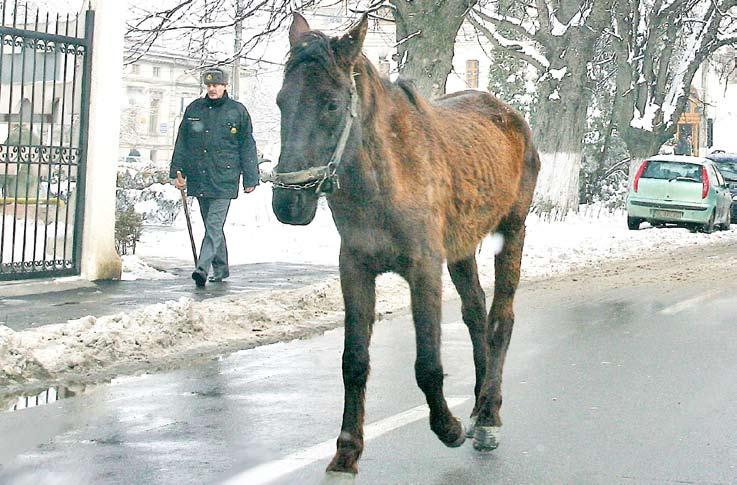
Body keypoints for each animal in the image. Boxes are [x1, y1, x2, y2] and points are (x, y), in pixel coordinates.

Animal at [268, 12, 536, 476]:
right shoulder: (355, 268)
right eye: (283, 101)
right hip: (462, 250)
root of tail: (510, 116)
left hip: (512, 232)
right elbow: (354, 361)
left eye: (331, 104)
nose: (288, 203)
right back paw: (480, 404)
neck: (384, 175)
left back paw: (487, 416)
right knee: (476, 314)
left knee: (500, 321)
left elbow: (428, 364)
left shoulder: (423, 268)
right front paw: (347, 449)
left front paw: (448, 428)